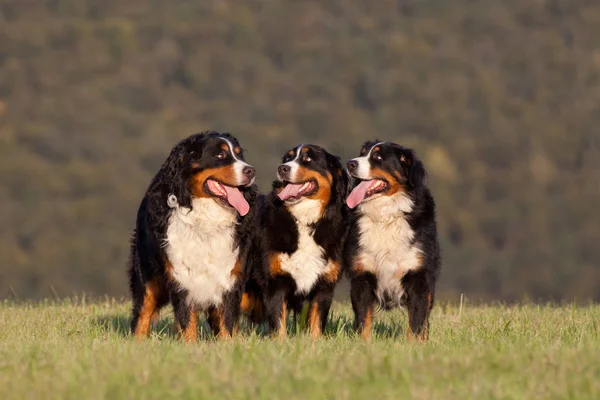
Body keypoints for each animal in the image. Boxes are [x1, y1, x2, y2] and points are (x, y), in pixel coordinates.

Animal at [127, 132, 258, 344]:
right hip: (146, 276)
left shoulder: (230, 276)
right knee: (142, 315)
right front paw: (190, 347)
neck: (205, 218)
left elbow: (227, 322)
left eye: (239, 155)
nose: (251, 171)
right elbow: (186, 321)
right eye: (220, 155)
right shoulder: (181, 276)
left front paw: (227, 346)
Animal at [241, 144, 350, 338]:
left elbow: (316, 323)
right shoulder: (275, 282)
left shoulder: (324, 286)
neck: (305, 221)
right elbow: (279, 324)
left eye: (308, 159)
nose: (282, 168)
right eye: (287, 159)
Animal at [342, 141, 440, 340]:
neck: (385, 217)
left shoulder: (418, 276)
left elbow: (416, 321)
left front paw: (415, 345)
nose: (350, 164)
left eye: (378, 157)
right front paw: (363, 344)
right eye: (362, 153)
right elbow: (363, 319)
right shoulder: (362, 275)